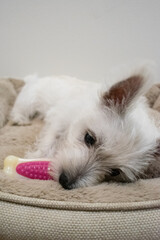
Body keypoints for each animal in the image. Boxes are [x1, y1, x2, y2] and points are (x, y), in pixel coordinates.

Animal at [10, 63, 160, 189]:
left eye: (115, 172)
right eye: (89, 138)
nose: (65, 181)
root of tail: (35, 79)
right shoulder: (60, 120)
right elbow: (49, 141)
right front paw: (35, 156)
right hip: (29, 99)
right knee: (19, 108)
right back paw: (20, 119)